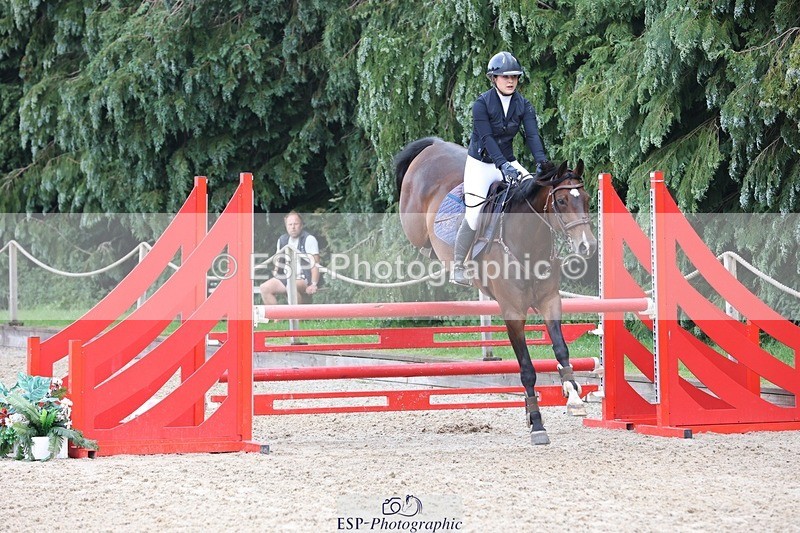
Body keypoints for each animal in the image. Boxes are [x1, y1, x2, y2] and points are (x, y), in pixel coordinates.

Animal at [395, 137, 597, 445]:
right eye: (561, 201)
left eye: (586, 199)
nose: (588, 246)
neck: (529, 242)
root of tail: (434, 145)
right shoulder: (512, 312)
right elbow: (526, 369)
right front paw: (537, 423)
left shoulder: (550, 301)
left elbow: (561, 350)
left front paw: (573, 396)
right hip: (414, 223)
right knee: (420, 239)